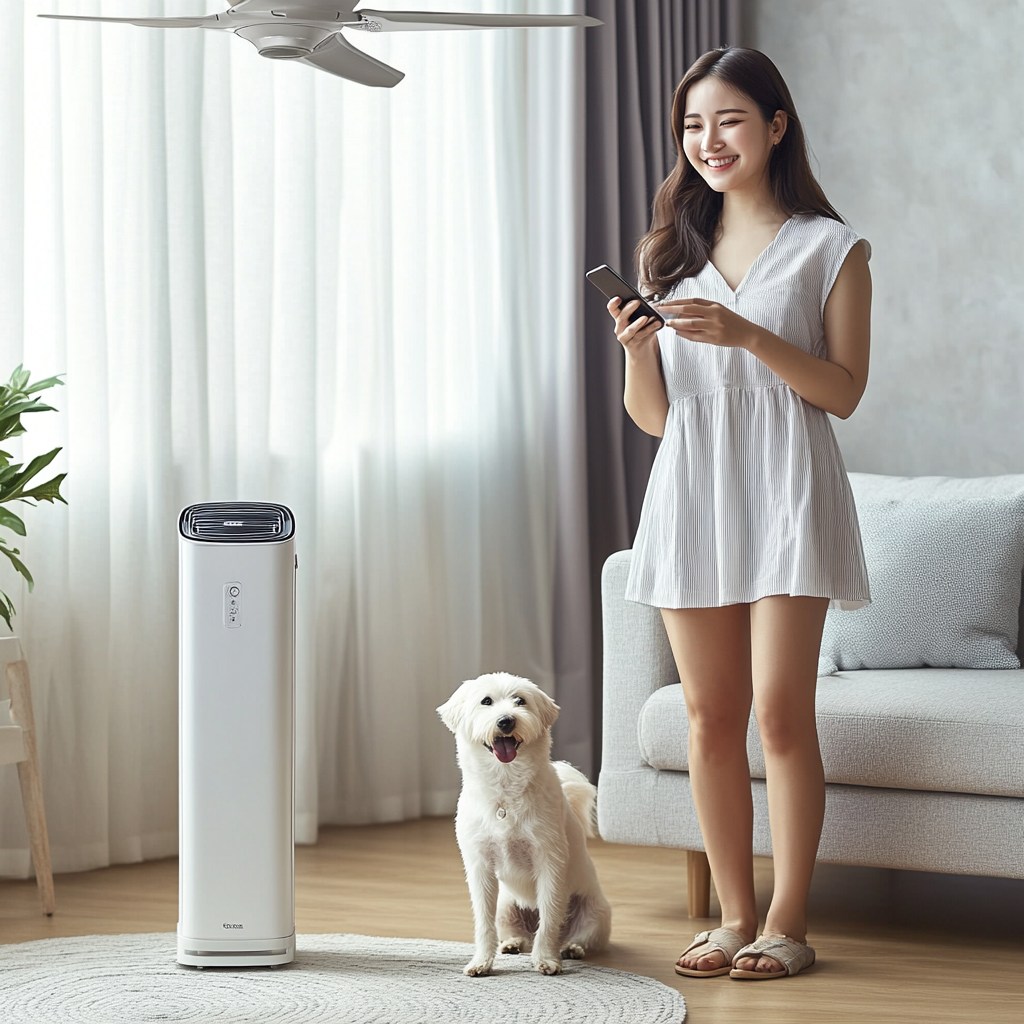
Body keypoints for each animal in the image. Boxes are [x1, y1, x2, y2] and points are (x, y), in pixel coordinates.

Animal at [436, 671, 610, 974]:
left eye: (520, 701)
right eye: (486, 701)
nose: (506, 721)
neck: (505, 789)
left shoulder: (549, 860)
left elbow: (549, 919)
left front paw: (546, 960)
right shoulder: (480, 866)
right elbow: (483, 923)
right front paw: (481, 962)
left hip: (595, 913)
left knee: (577, 935)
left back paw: (570, 948)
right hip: (506, 908)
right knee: (516, 932)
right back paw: (513, 943)